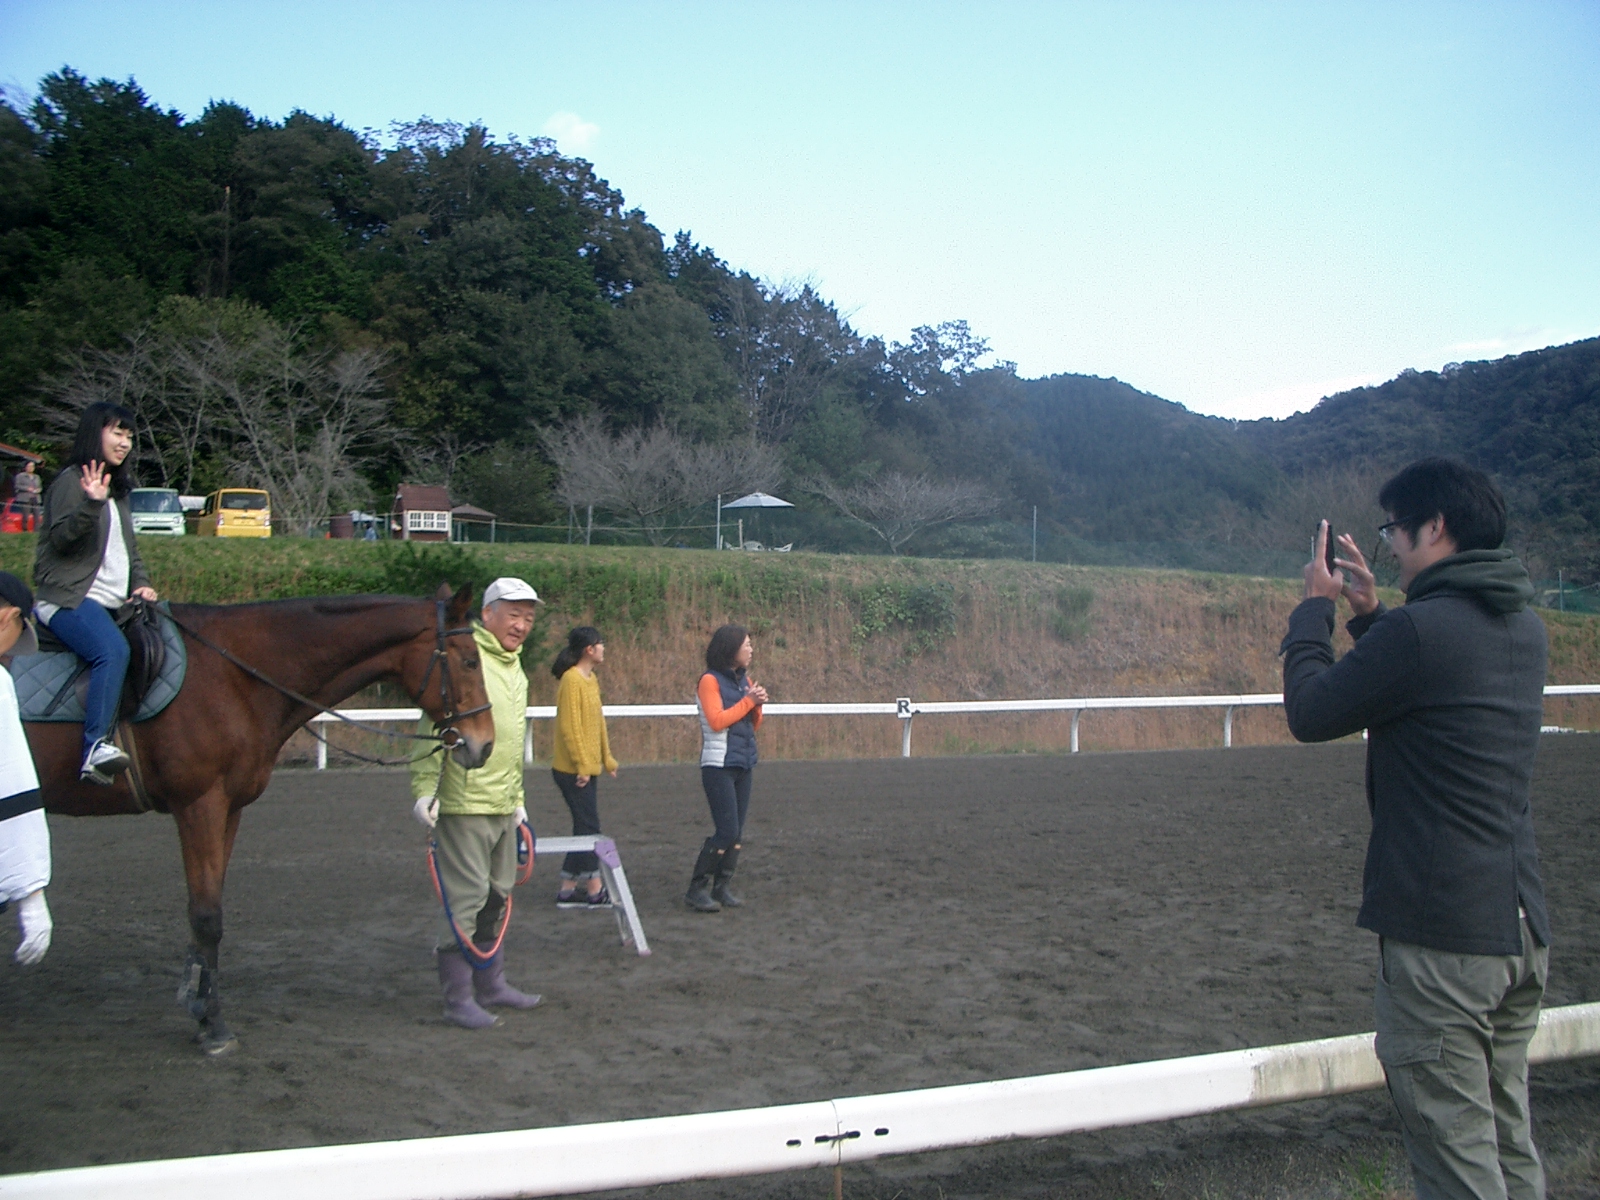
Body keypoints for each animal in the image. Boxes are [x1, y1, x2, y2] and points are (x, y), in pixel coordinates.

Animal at [23, 584, 496, 1056]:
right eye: (470, 661)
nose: (486, 745)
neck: (233, 674)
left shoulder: (228, 809)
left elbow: (209, 908)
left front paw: (199, 1008)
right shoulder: (199, 805)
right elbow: (206, 916)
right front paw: (213, 1025)